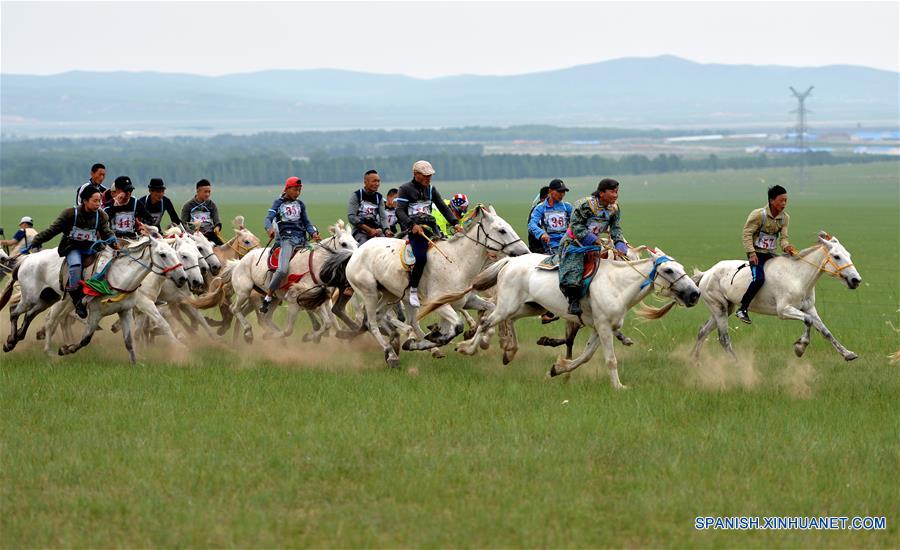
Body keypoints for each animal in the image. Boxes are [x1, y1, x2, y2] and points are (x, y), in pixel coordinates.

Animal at [1, 236, 187, 362]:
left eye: (176, 253)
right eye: (162, 254)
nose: (182, 278)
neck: (118, 277)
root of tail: (26, 259)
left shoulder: (125, 311)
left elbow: (129, 340)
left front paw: (136, 362)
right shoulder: (96, 313)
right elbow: (85, 339)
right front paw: (65, 349)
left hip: (47, 298)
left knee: (30, 315)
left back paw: (16, 339)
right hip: (31, 297)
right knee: (15, 312)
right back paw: (14, 342)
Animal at [336, 205, 532, 368]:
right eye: (502, 230)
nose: (525, 252)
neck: (457, 263)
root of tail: (357, 251)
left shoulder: (464, 301)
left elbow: (489, 312)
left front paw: (493, 343)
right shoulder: (439, 303)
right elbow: (456, 327)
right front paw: (432, 339)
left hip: (391, 295)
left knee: (384, 317)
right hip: (369, 292)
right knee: (372, 323)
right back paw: (391, 355)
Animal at [424, 248, 704, 390]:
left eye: (681, 268)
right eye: (669, 270)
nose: (694, 293)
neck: (617, 285)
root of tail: (509, 262)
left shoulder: (599, 328)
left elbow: (585, 356)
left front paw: (557, 369)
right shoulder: (604, 328)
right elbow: (610, 359)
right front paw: (619, 387)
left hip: (526, 307)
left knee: (503, 321)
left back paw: (507, 351)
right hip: (508, 304)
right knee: (487, 321)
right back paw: (467, 347)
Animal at [692, 232, 860, 362]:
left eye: (849, 255)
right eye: (836, 256)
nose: (856, 280)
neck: (798, 277)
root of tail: (707, 273)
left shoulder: (809, 308)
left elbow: (825, 331)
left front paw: (848, 354)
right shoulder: (784, 310)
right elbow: (808, 320)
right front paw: (800, 347)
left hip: (726, 309)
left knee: (702, 331)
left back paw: (694, 361)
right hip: (719, 308)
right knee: (724, 339)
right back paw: (737, 364)